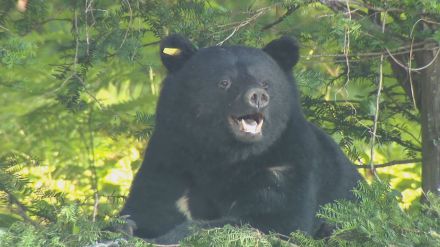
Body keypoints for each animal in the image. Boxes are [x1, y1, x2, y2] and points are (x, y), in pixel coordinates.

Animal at [120, 34, 360, 243]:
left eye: (265, 82)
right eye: (224, 82)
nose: (258, 96)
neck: (227, 154)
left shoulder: (287, 162)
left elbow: (276, 219)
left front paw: (176, 233)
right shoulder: (170, 157)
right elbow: (149, 206)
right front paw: (126, 226)